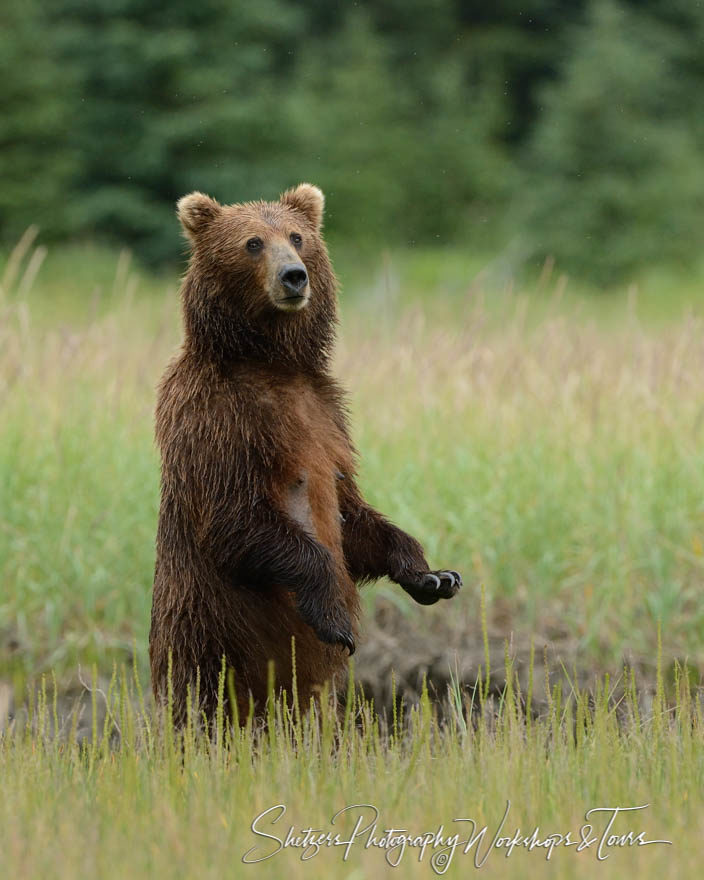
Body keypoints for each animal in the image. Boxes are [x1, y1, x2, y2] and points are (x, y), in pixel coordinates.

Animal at [150, 184, 462, 720]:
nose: (295, 275)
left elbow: (349, 512)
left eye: (298, 236)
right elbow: (234, 516)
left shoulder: (327, 415)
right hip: (205, 629)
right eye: (253, 242)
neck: (270, 361)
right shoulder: (216, 418)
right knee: (204, 701)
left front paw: (431, 575)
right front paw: (335, 617)